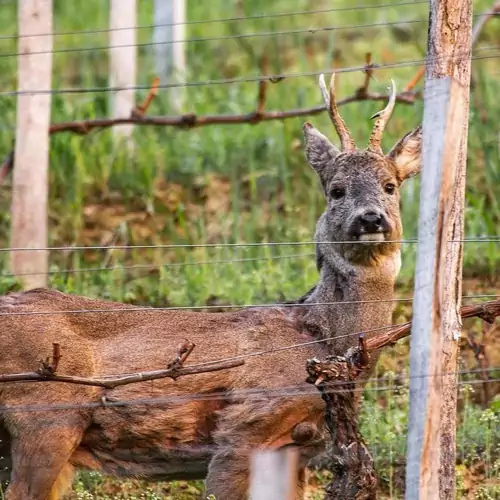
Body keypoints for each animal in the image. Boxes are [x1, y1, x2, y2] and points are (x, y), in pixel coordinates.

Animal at [0, 73, 422, 500]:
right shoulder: (243, 427)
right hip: (46, 415)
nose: (371, 218)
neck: (317, 338)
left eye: (390, 186)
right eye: (336, 189)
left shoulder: (296, 449)